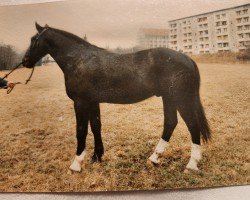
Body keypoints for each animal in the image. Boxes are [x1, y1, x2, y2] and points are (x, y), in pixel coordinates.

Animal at [22, 23, 211, 173]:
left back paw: (191, 165)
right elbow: (96, 127)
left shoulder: (81, 102)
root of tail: (187, 59)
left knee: (192, 125)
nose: (25, 61)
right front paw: (97, 156)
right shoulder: (92, 102)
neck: (79, 60)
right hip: (169, 98)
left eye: (34, 39)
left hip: (180, 99)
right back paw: (154, 158)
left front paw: (76, 164)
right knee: (171, 123)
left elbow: (81, 131)